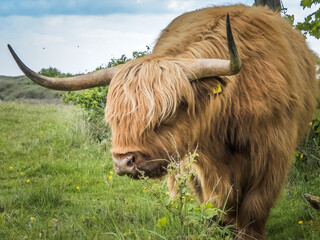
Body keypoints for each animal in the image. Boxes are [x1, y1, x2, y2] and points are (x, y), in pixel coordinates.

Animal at [7, 4, 318, 240]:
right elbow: (216, 208)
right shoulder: (202, 165)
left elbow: (254, 209)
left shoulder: (272, 157)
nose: (123, 162)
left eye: (167, 114)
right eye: (114, 118)